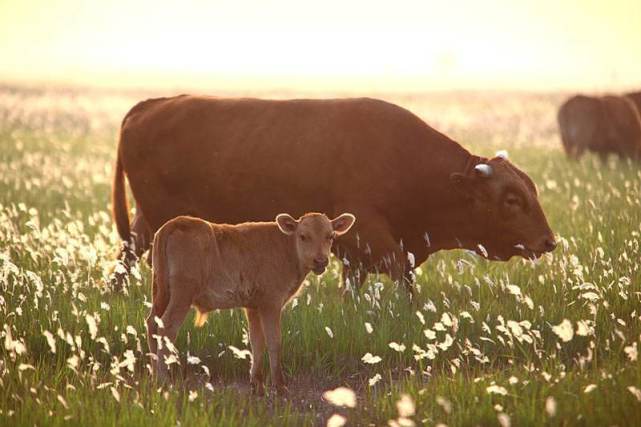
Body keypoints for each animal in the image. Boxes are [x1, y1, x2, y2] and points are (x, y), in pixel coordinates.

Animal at [114, 96, 556, 294]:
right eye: (512, 199)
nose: (548, 241)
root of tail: (152, 104)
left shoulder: (354, 254)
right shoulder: (376, 240)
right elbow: (403, 279)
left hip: (145, 223)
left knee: (125, 258)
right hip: (162, 222)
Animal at [146, 211, 356, 394]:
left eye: (330, 236)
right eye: (303, 236)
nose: (320, 261)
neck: (287, 249)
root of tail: (175, 223)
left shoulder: (253, 306)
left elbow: (257, 342)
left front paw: (257, 385)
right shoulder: (271, 303)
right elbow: (274, 341)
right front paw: (280, 386)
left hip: (161, 293)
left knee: (152, 324)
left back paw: (155, 375)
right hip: (182, 294)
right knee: (167, 328)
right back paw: (164, 380)